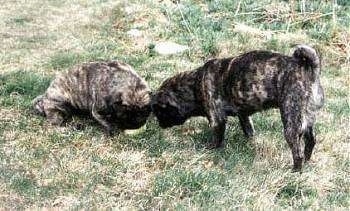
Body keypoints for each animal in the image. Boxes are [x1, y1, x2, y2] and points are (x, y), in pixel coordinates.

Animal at [153, 45, 326, 171]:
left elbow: (217, 138)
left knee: (297, 153)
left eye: (159, 112)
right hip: (307, 120)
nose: (160, 125)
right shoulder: (244, 115)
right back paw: (308, 162)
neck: (194, 84)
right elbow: (248, 130)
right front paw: (251, 142)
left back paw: (295, 171)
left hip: (291, 123)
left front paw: (210, 149)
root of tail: (308, 69)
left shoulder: (216, 120)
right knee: (311, 141)